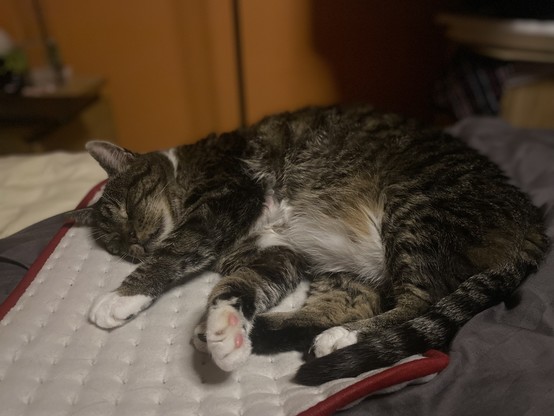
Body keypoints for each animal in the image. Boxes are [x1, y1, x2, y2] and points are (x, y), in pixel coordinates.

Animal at [72, 105, 548, 386]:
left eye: (126, 209)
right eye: (117, 246)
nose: (135, 243)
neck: (185, 169)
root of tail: (531, 218)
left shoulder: (224, 198)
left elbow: (174, 249)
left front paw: (120, 297)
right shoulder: (274, 254)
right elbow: (239, 285)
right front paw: (224, 328)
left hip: (415, 205)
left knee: (421, 300)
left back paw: (340, 340)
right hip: (344, 267)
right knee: (346, 306)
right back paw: (251, 332)